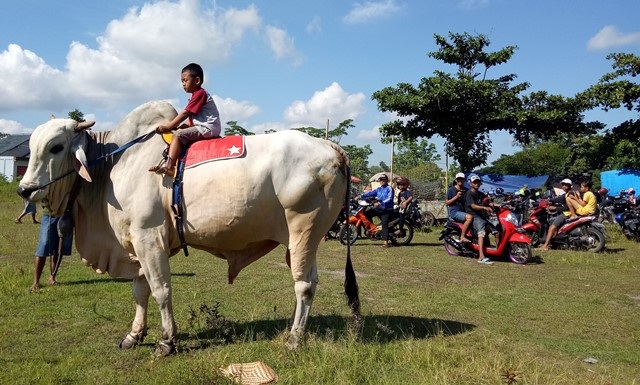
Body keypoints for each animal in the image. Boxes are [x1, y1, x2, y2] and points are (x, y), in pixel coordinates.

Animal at [18, 100, 360, 354]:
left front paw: (167, 341)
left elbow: (160, 290)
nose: (24, 190)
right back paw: (293, 328)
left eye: (56, 147)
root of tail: (332, 148)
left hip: (304, 232)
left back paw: (294, 339)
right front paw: (134, 335)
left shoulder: (149, 237)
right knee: (308, 282)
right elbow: (139, 290)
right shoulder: (136, 243)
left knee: (304, 285)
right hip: (301, 240)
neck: (114, 164)